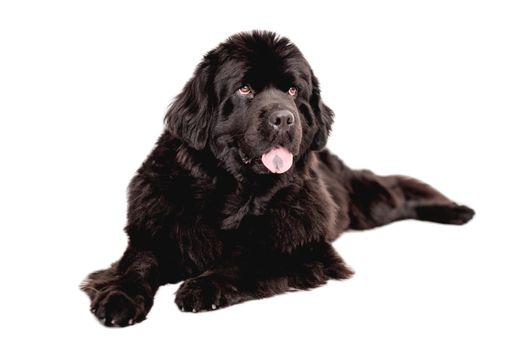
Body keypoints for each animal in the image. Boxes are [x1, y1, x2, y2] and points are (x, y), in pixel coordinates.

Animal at [80, 29, 476, 326]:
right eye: (245, 89)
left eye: (292, 90)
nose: (284, 118)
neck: (233, 193)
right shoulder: (154, 234)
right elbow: (136, 265)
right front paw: (118, 298)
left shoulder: (306, 248)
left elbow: (247, 260)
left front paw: (201, 287)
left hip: (369, 205)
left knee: (397, 190)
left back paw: (457, 210)